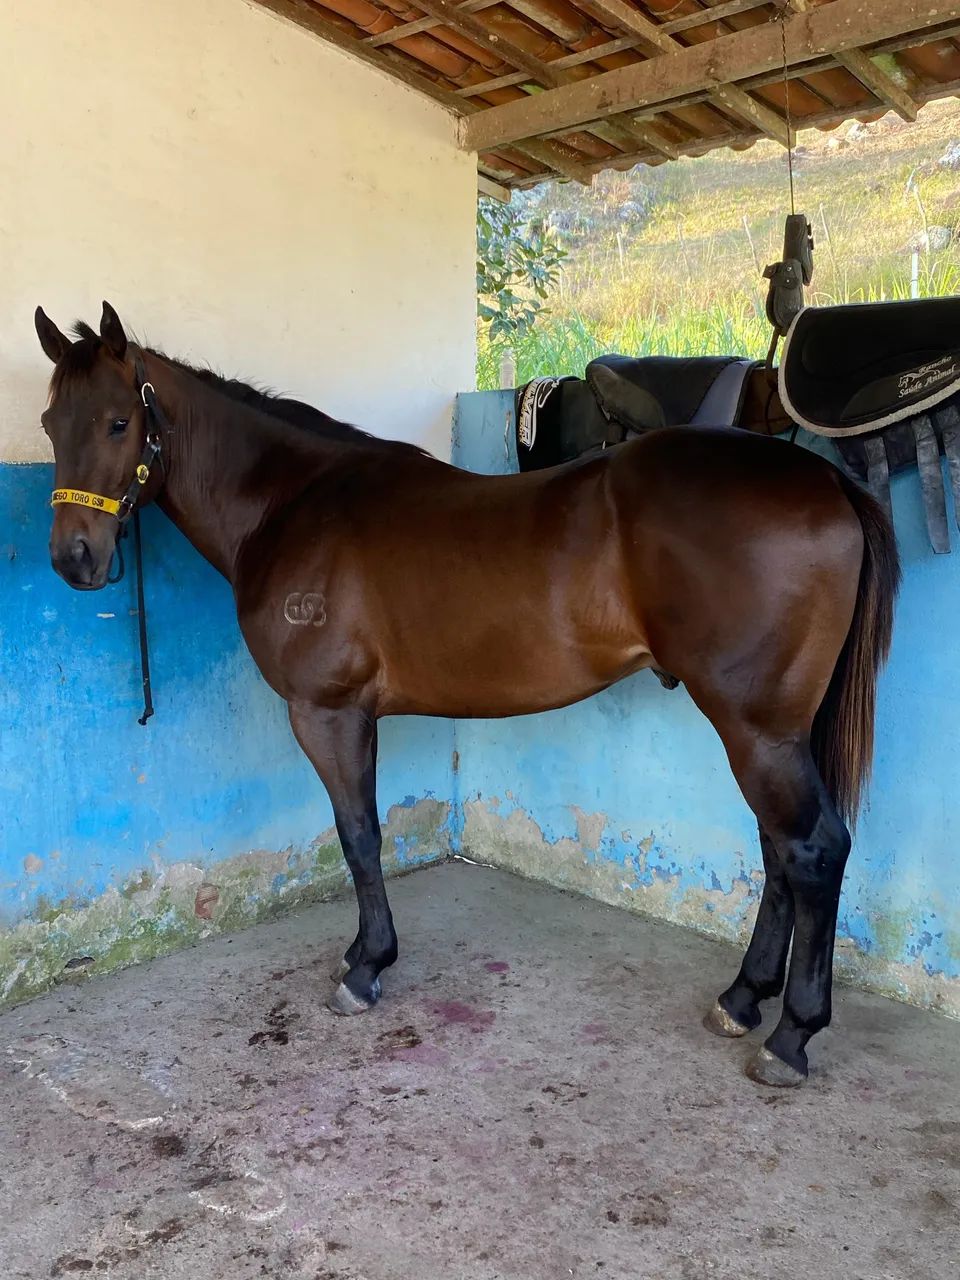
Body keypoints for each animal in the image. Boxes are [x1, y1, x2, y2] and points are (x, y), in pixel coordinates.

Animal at [33, 302, 900, 1087]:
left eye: (117, 423)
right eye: (47, 423)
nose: (75, 559)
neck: (292, 504)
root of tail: (823, 477)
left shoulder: (328, 713)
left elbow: (358, 836)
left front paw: (366, 970)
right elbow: (361, 834)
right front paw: (362, 954)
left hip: (757, 729)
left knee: (811, 850)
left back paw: (790, 1037)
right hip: (772, 731)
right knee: (779, 852)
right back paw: (742, 999)